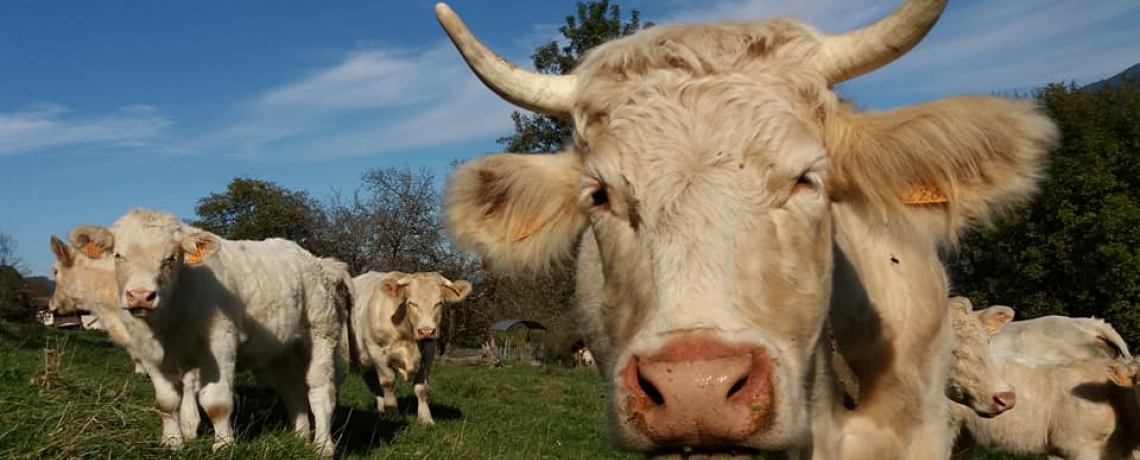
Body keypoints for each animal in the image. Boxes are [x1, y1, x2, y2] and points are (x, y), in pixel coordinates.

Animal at [71, 210, 346, 457]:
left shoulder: (220, 344)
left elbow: (216, 402)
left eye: (171, 258)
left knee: (321, 392)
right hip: (280, 350)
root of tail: (310, 258)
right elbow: (166, 402)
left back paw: (323, 446)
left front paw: (223, 445)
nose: (140, 295)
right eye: (118, 255)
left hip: (321, 332)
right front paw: (172, 441)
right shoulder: (150, 355)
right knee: (292, 391)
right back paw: (300, 439)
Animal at [346, 269, 471, 423]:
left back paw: (381, 410)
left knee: (373, 384)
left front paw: (426, 418)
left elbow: (421, 388)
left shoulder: (428, 352)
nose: (426, 331)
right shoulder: (376, 350)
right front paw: (393, 414)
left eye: (439, 303)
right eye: (411, 303)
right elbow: (388, 383)